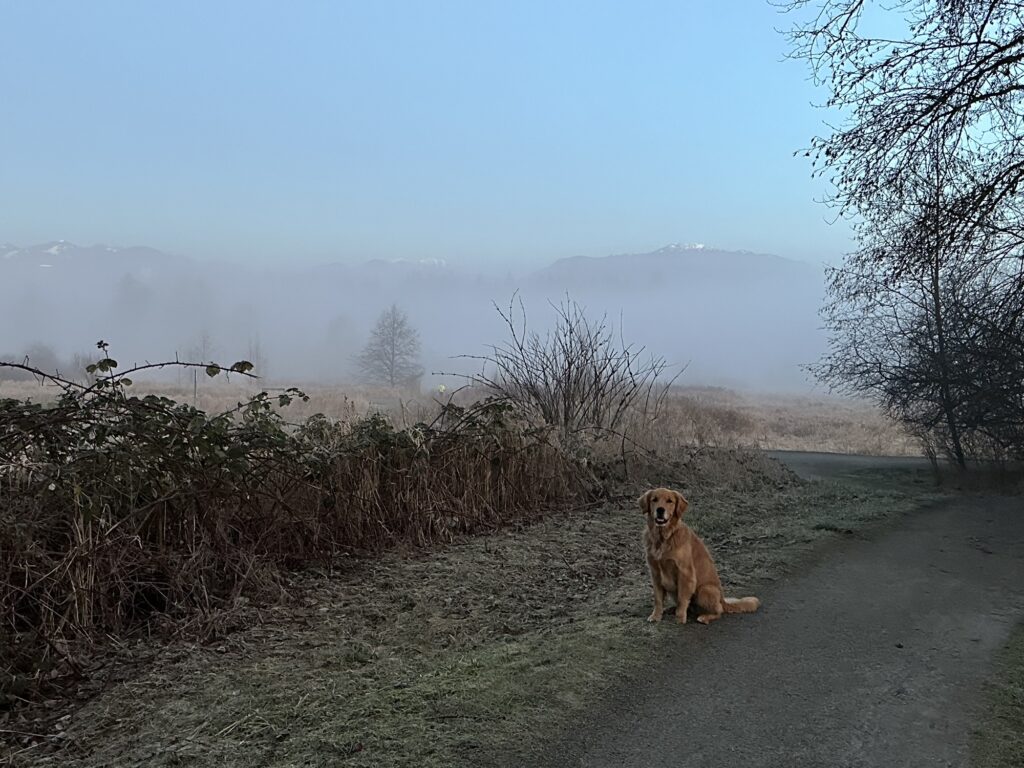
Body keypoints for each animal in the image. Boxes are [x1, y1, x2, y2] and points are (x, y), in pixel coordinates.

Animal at [638, 489, 761, 626]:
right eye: (654, 499)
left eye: (670, 501)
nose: (660, 510)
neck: (663, 538)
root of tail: (723, 600)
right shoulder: (655, 573)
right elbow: (658, 599)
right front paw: (655, 616)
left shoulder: (686, 574)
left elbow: (682, 599)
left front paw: (680, 618)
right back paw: (671, 609)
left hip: (705, 590)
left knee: (719, 610)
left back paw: (704, 617)